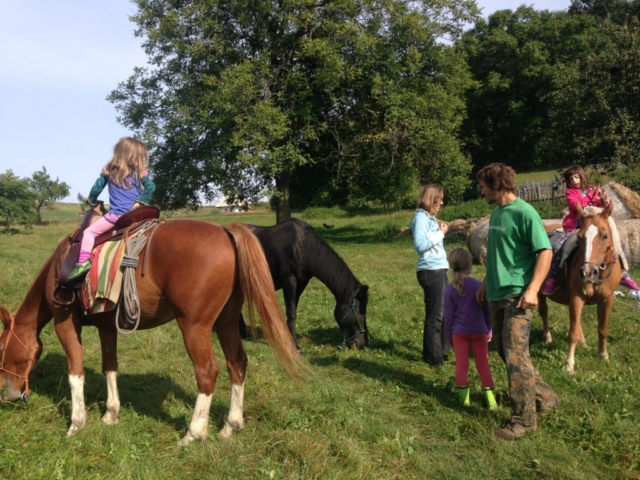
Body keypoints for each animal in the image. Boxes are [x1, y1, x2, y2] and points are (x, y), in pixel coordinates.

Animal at [0, 220, 304, 445]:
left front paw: (76, 423)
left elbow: (75, 374)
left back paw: (193, 433)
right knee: (237, 363)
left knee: (207, 371)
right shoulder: (107, 327)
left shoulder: (65, 324)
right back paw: (231, 425)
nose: (9, 394)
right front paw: (110, 414)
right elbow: (110, 366)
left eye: (2, 349)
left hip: (194, 327)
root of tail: (225, 231)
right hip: (226, 322)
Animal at [239, 218, 369, 350]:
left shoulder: (301, 283)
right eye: (358, 310)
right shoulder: (289, 281)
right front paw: (294, 344)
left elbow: (294, 310)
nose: (362, 342)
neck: (302, 247)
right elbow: (291, 313)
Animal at [538, 202, 621, 374]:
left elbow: (603, 328)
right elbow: (573, 332)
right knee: (544, 311)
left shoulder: (607, 299)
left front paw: (603, 355)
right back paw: (547, 337)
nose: (587, 272)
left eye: (605, 235)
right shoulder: (577, 297)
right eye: (579, 237)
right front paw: (569, 364)